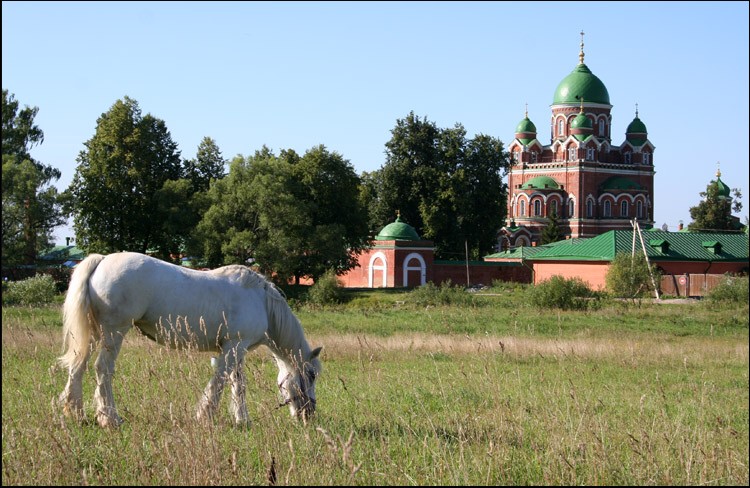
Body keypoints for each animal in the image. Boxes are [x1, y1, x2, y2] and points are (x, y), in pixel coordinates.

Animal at [58, 252, 324, 428]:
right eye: (311, 375)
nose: (308, 415)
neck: (261, 301)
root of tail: (102, 260)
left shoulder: (238, 350)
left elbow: (238, 384)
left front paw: (242, 419)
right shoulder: (233, 347)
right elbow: (220, 381)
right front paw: (205, 415)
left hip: (94, 335)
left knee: (78, 367)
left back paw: (76, 413)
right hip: (114, 333)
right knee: (102, 369)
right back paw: (110, 418)